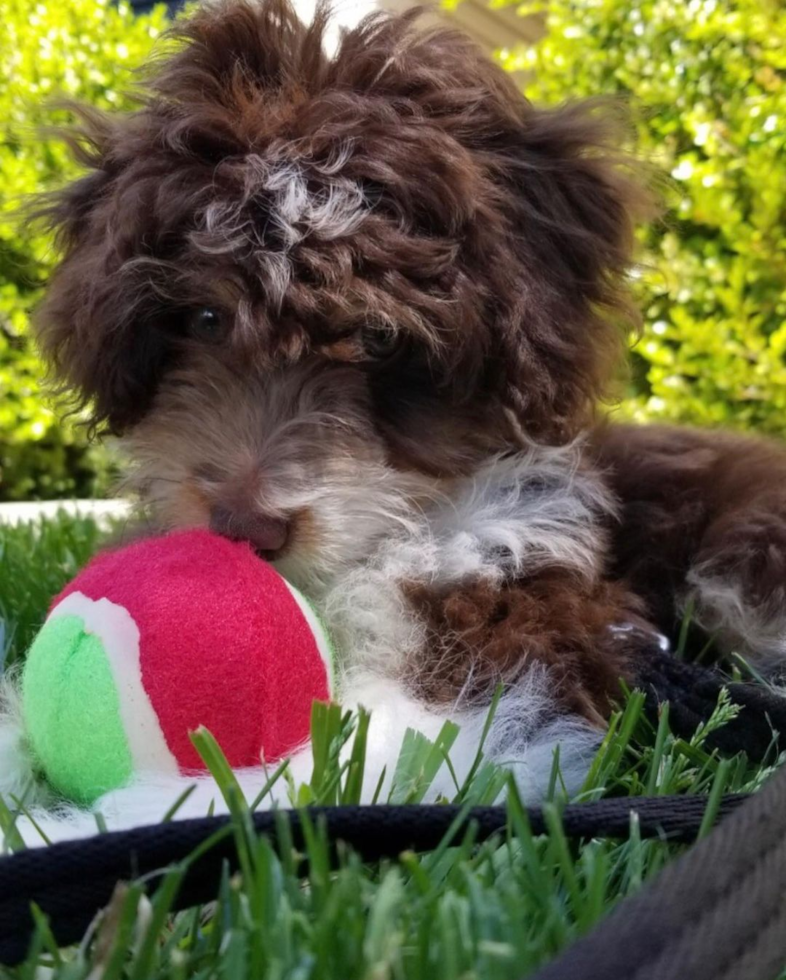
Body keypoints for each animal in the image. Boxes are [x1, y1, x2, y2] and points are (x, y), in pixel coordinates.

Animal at [3, 0, 780, 844]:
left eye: (378, 337)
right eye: (205, 318)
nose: (246, 527)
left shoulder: (518, 629)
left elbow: (342, 760)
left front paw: (87, 825)